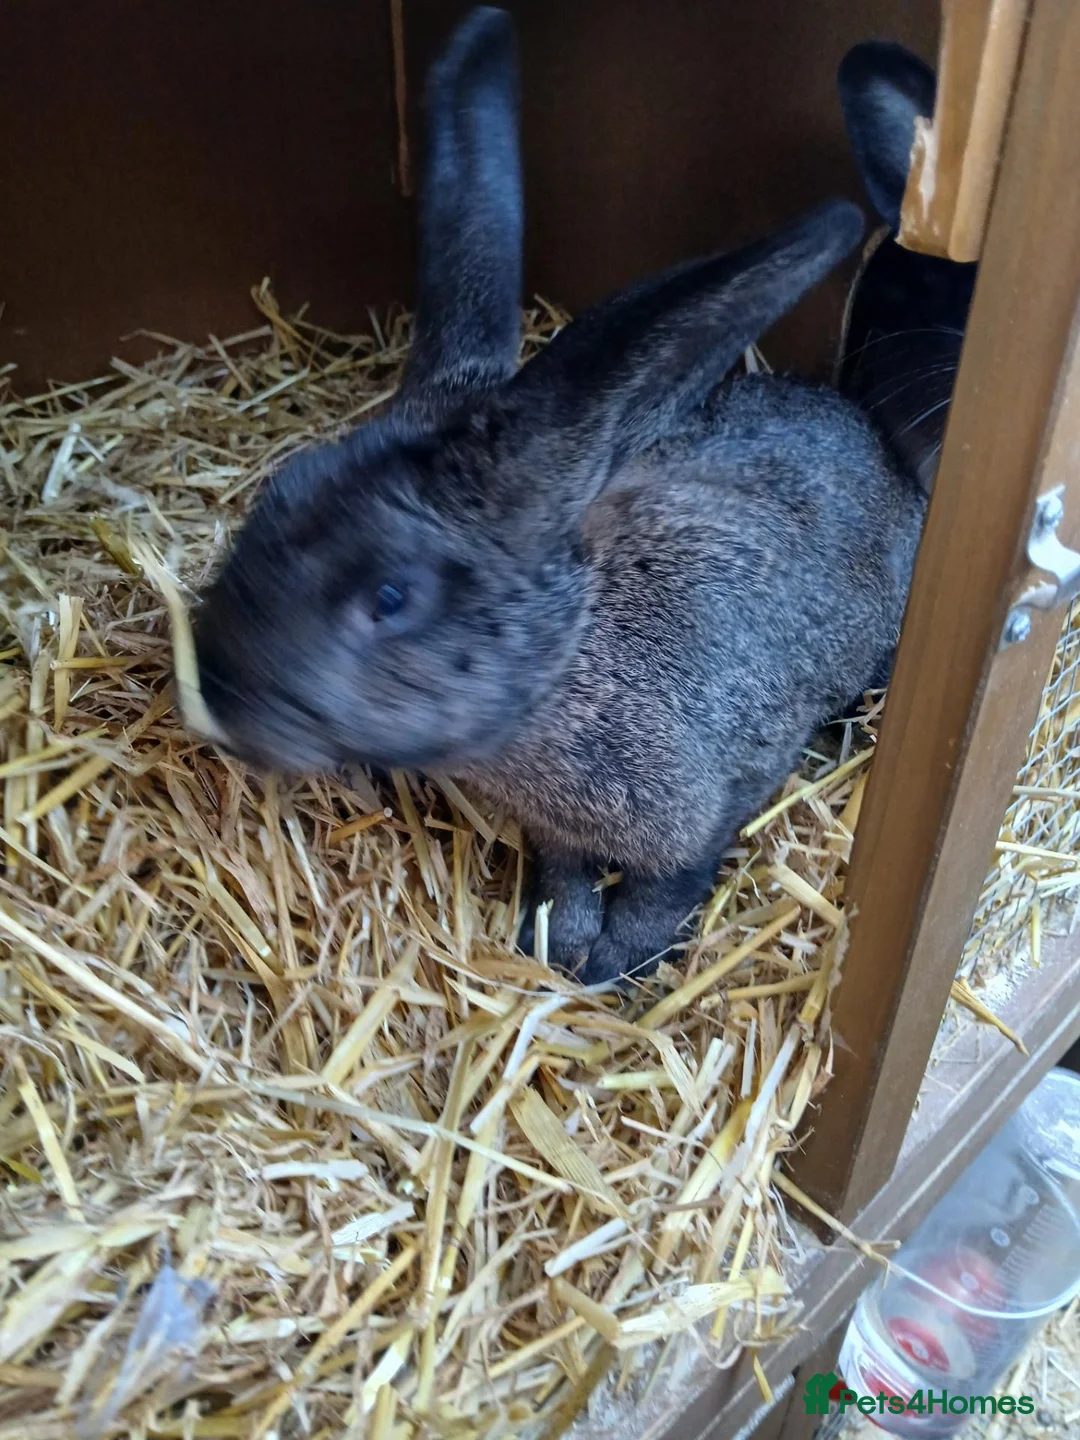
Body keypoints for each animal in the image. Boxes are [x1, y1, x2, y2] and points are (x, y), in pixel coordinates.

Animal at [191, 6, 927, 987]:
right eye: (278, 494)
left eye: (390, 595)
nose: (214, 689)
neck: (572, 655)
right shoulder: (559, 834)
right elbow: (565, 874)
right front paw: (554, 941)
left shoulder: (710, 805)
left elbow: (664, 892)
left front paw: (612, 965)